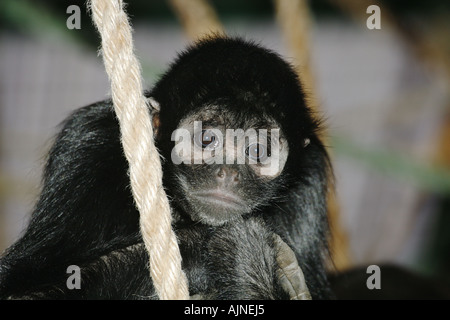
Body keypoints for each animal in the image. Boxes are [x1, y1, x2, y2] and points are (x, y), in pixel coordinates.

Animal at [0, 37, 330, 300]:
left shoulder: (308, 182)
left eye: (259, 150)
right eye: (207, 138)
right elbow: (17, 291)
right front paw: (214, 246)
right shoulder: (87, 143)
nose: (229, 172)